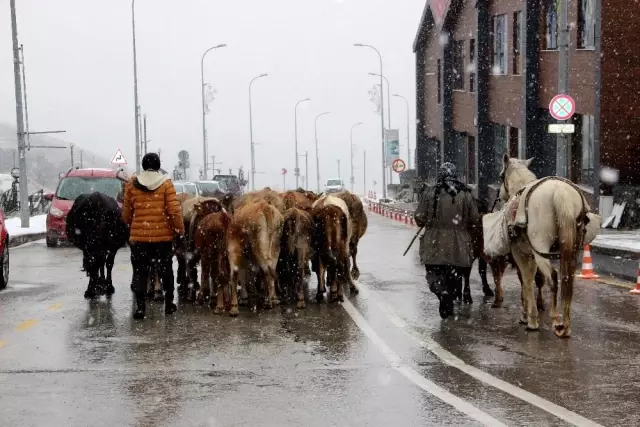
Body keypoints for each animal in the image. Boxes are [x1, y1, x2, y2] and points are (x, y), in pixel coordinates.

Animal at [500, 155, 592, 340]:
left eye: (501, 176)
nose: (499, 194)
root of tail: (561, 192)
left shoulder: (520, 253)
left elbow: (527, 281)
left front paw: (530, 319)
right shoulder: (530, 254)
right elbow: (533, 279)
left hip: (540, 247)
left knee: (553, 278)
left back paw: (555, 320)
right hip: (571, 249)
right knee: (567, 279)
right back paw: (565, 326)